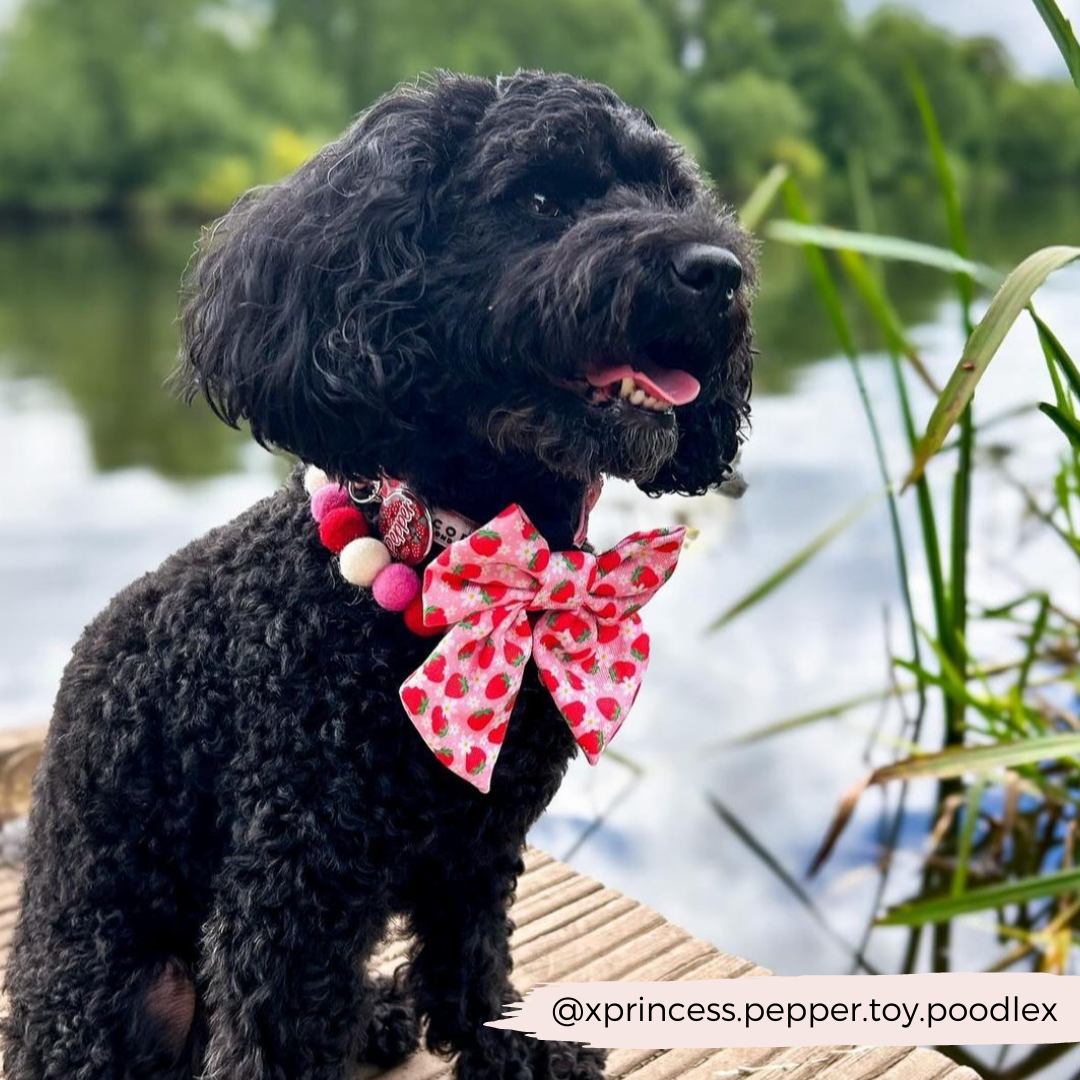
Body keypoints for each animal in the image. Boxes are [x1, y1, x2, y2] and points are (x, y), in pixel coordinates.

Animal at [2, 71, 751, 1075]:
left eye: (671, 192)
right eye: (540, 200)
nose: (717, 270)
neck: (446, 560)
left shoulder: (480, 842)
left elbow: (474, 955)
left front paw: (513, 1048)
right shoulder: (293, 882)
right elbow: (280, 1033)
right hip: (117, 989)